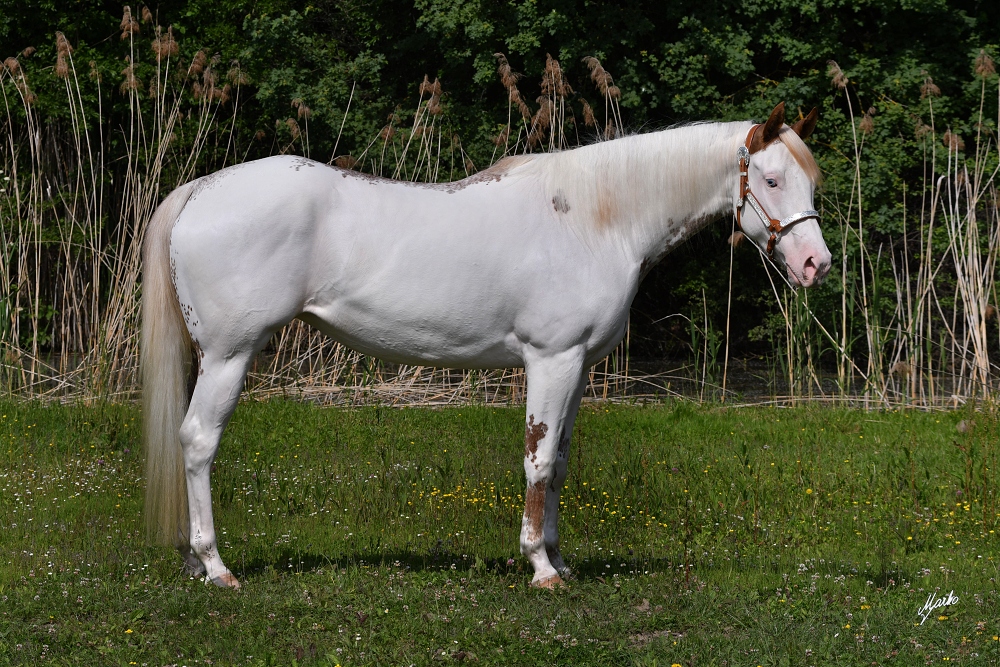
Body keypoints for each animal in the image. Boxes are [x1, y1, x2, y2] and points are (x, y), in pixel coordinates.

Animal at [141, 100, 828, 588]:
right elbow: (538, 460)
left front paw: (559, 558)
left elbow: (561, 464)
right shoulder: (551, 360)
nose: (815, 264)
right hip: (229, 355)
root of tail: (199, 191)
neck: (595, 219)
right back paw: (216, 566)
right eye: (770, 179)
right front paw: (540, 568)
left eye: (810, 183)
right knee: (198, 441)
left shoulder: (578, 368)